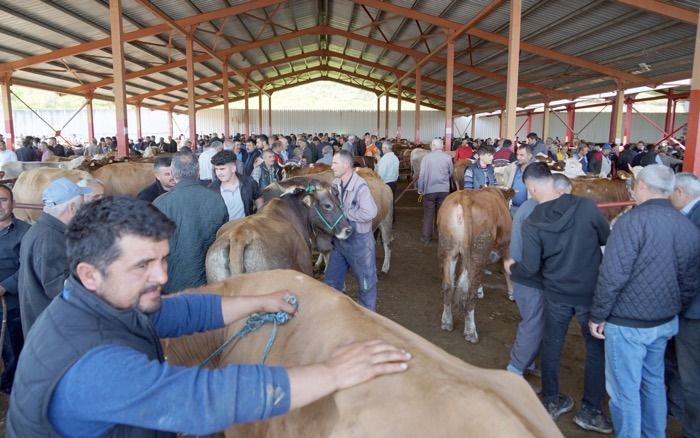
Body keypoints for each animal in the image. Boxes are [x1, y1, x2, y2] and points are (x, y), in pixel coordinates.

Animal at [438, 188, 516, 342]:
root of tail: (464, 197)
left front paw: (481, 290)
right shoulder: (507, 247)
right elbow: (507, 270)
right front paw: (511, 294)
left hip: (449, 251)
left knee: (448, 286)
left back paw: (447, 322)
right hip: (478, 252)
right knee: (469, 293)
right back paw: (471, 332)